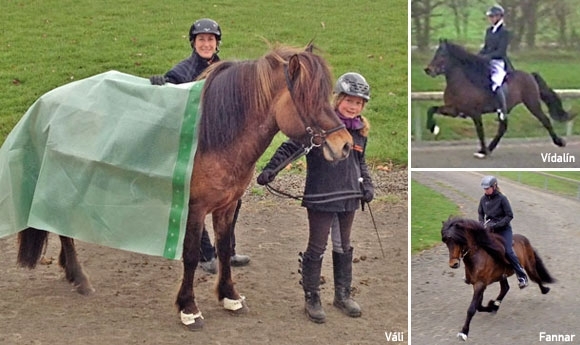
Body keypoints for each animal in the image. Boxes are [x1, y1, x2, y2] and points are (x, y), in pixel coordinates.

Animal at [15, 44, 354, 330]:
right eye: (309, 98)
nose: (346, 144)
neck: (213, 133)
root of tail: (48, 101)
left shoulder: (227, 205)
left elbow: (224, 248)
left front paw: (230, 296)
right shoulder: (194, 208)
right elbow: (191, 255)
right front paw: (188, 308)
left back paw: (73, 274)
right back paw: (80, 277)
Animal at [422, 39, 572, 158]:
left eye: (442, 55)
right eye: (435, 53)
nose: (428, 70)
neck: (460, 83)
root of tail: (529, 75)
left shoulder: (475, 113)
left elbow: (480, 132)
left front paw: (483, 151)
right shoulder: (454, 109)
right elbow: (431, 109)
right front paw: (433, 128)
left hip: (532, 103)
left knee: (544, 120)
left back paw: (559, 142)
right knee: (503, 127)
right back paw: (491, 147)